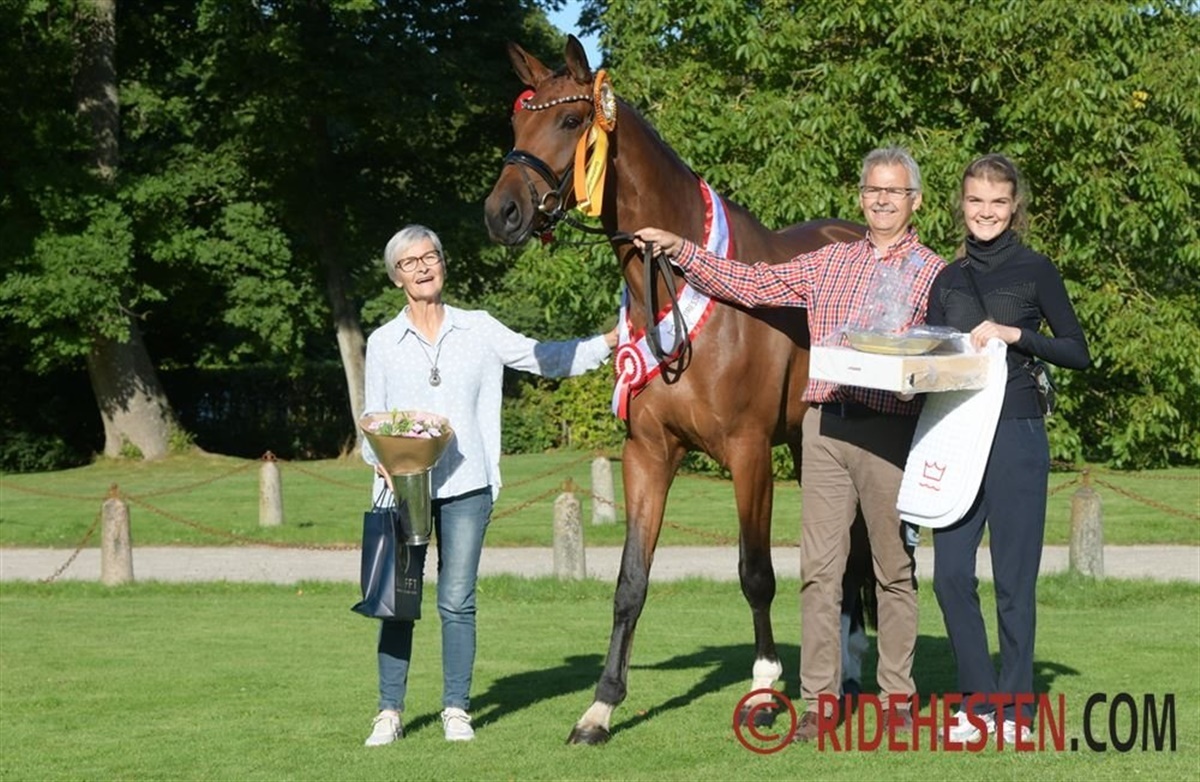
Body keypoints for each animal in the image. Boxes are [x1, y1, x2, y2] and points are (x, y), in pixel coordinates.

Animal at [484, 35, 871, 744]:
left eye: (572, 120)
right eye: (517, 121)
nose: (502, 213)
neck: (688, 286)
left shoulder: (749, 453)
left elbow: (755, 573)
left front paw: (766, 690)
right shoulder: (648, 454)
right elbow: (630, 580)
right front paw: (601, 707)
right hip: (811, 446)